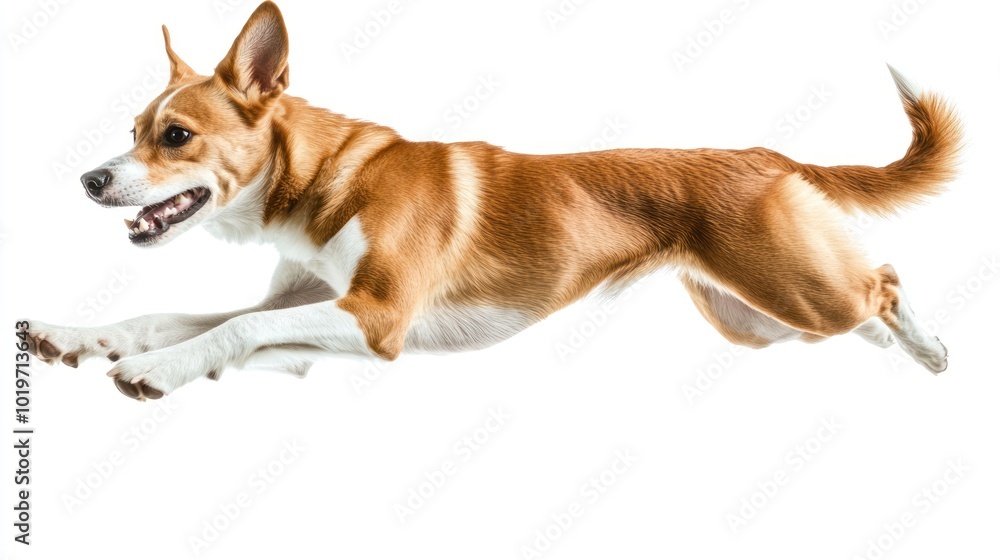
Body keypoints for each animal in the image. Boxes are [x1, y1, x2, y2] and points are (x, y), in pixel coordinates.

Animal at [25, 2, 960, 400]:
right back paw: (907, 350)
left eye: (175, 135)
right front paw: (81, 338)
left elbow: (226, 330)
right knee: (866, 302)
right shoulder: (314, 317)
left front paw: (155, 371)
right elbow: (189, 321)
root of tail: (766, 154)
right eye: (132, 129)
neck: (331, 176)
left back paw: (932, 348)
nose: (90, 180)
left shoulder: (378, 318)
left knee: (882, 282)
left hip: (787, 292)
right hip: (755, 319)